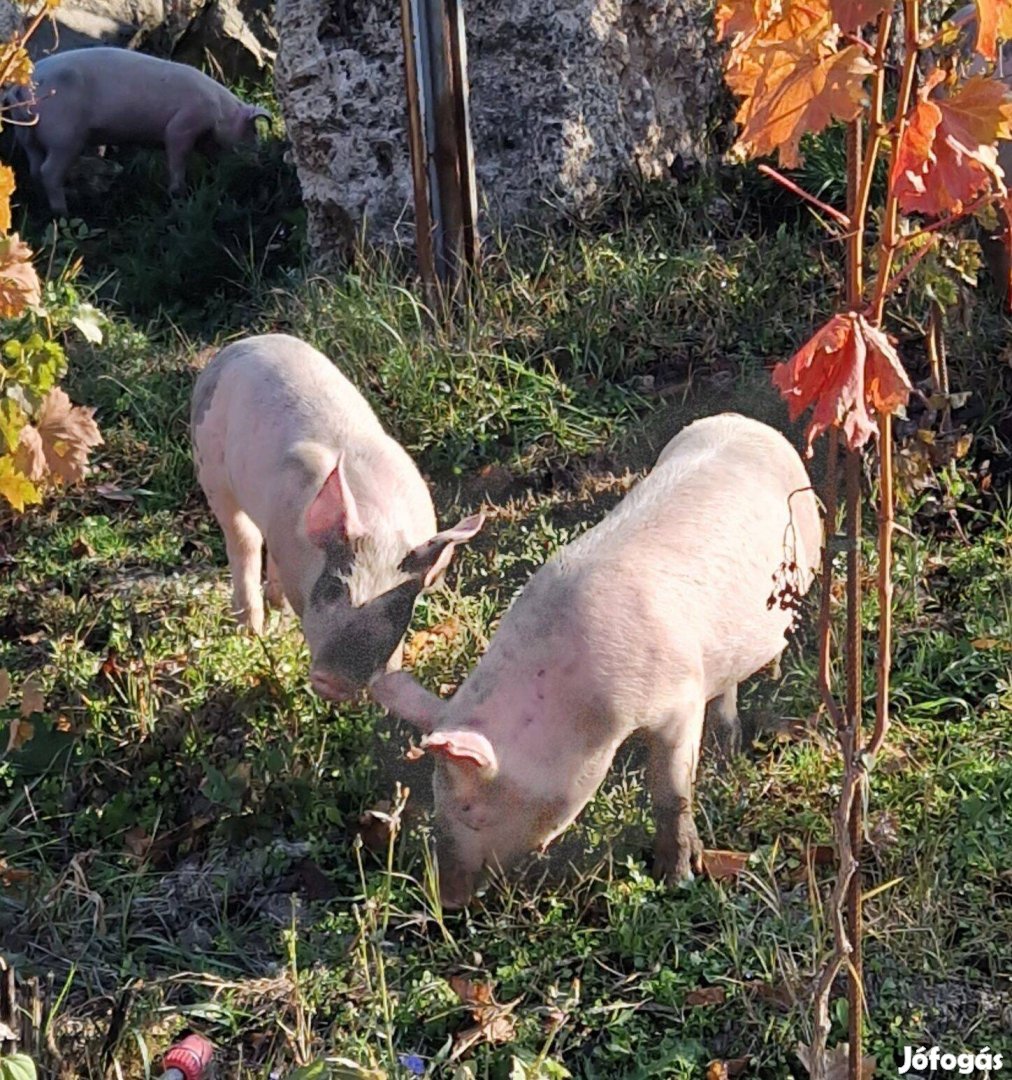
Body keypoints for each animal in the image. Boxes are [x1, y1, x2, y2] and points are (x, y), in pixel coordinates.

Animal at [12, 46, 272, 214]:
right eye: (254, 131)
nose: (258, 166)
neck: (219, 111)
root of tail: (22, 87)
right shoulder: (183, 125)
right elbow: (177, 157)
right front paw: (179, 196)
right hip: (65, 136)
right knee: (48, 171)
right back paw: (64, 212)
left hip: (28, 135)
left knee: (35, 168)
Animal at [193, 334, 486, 699]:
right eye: (333, 589)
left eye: (399, 607)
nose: (339, 683)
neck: (381, 532)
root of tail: (240, 344)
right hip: (210, 467)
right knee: (242, 540)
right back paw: (251, 632)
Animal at [371, 416, 820, 907]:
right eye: (435, 796)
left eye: (470, 807)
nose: (445, 898)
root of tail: (749, 423)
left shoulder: (679, 700)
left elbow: (671, 792)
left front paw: (677, 879)